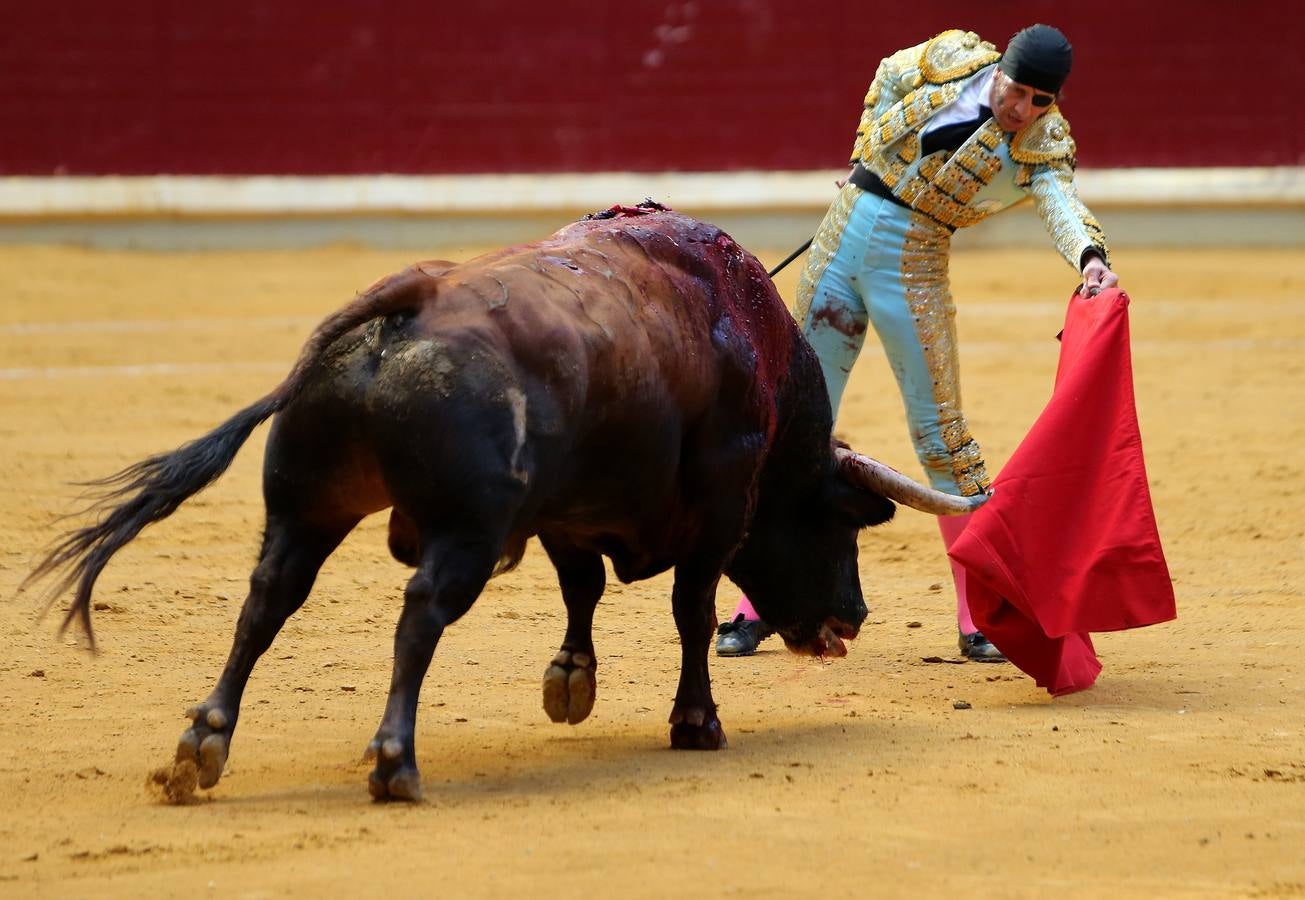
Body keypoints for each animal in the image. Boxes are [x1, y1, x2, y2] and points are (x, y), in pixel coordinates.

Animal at [25, 204, 981, 798]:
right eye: (838, 524)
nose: (853, 616)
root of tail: (410, 303)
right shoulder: (719, 507)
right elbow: (688, 609)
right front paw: (695, 720)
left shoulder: (566, 511)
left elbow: (581, 587)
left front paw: (571, 683)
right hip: (464, 531)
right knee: (418, 612)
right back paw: (394, 762)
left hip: (306, 509)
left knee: (266, 601)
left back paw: (203, 745)